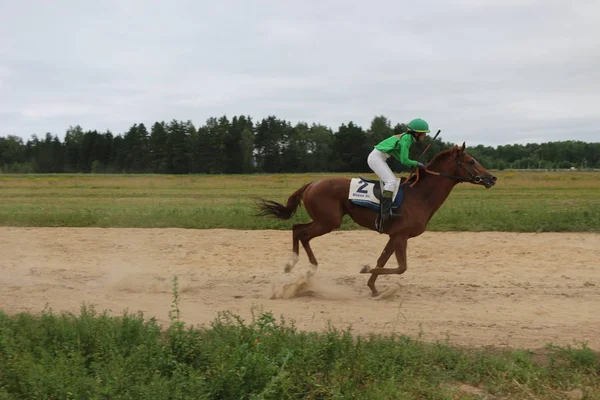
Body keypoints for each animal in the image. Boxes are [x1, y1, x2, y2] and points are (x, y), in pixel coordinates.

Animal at [253, 142, 496, 296]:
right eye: (471, 161)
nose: (492, 178)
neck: (420, 195)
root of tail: (312, 184)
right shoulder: (401, 236)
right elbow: (400, 267)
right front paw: (365, 270)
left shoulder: (394, 236)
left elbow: (383, 261)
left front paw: (374, 288)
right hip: (329, 221)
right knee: (302, 233)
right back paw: (300, 266)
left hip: (325, 220)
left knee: (297, 228)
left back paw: (299, 267)